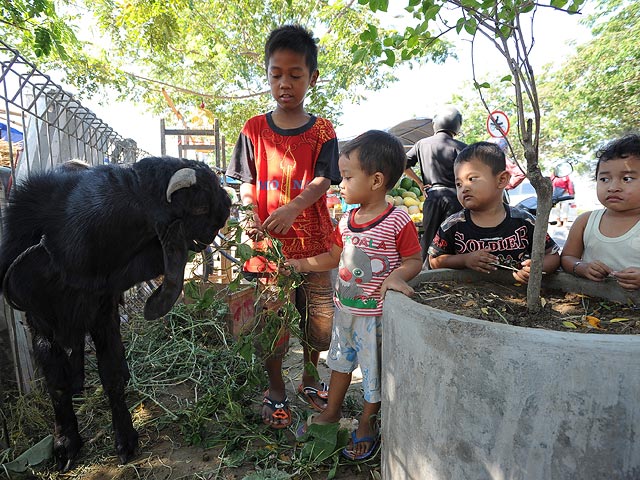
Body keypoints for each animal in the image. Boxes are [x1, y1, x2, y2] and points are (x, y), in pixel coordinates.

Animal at [0, 157, 231, 468]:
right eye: (201, 202)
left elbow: (110, 374)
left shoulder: (103, 312)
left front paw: (125, 439)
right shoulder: (40, 322)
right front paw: (65, 443)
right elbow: (56, 383)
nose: (229, 203)